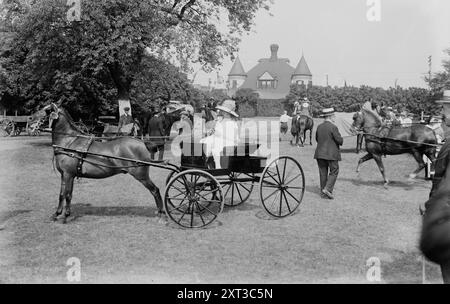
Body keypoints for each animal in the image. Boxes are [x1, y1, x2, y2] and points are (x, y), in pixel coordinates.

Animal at [34, 104, 165, 223]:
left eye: (47, 110)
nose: (31, 120)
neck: (69, 142)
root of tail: (143, 143)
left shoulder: (68, 174)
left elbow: (68, 195)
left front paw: (65, 216)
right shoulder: (64, 175)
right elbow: (61, 194)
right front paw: (56, 214)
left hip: (141, 175)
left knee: (155, 190)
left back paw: (161, 214)